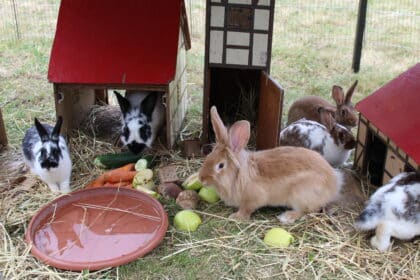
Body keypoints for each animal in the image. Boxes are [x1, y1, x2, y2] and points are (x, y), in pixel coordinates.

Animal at [199, 106, 342, 224]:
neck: (238, 175)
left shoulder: (253, 199)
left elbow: (246, 209)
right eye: (208, 157)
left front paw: (236, 217)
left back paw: (287, 217)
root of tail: (333, 184)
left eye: (220, 165)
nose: (202, 179)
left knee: (308, 210)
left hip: (301, 195)